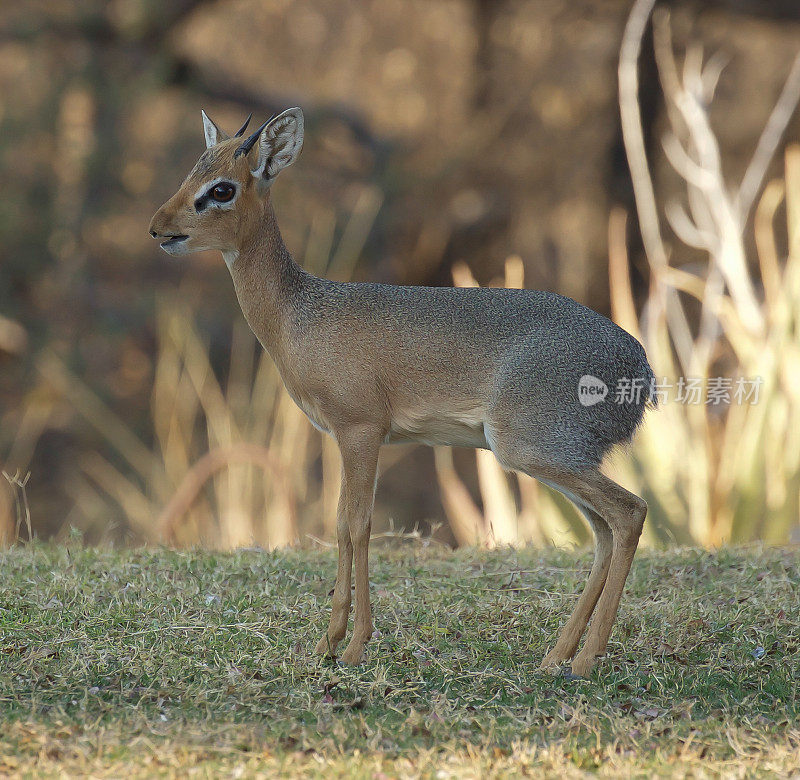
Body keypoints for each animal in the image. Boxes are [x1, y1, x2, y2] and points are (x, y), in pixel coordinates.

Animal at [150, 109, 656, 676]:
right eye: (193, 172)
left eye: (222, 188)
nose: (159, 228)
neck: (297, 315)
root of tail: (641, 367)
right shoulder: (343, 438)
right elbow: (341, 523)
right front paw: (330, 641)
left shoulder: (361, 430)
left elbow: (357, 524)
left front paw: (350, 643)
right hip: (559, 458)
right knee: (604, 532)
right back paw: (557, 655)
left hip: (533, 449)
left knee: (630, 513)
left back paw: (586, 658)